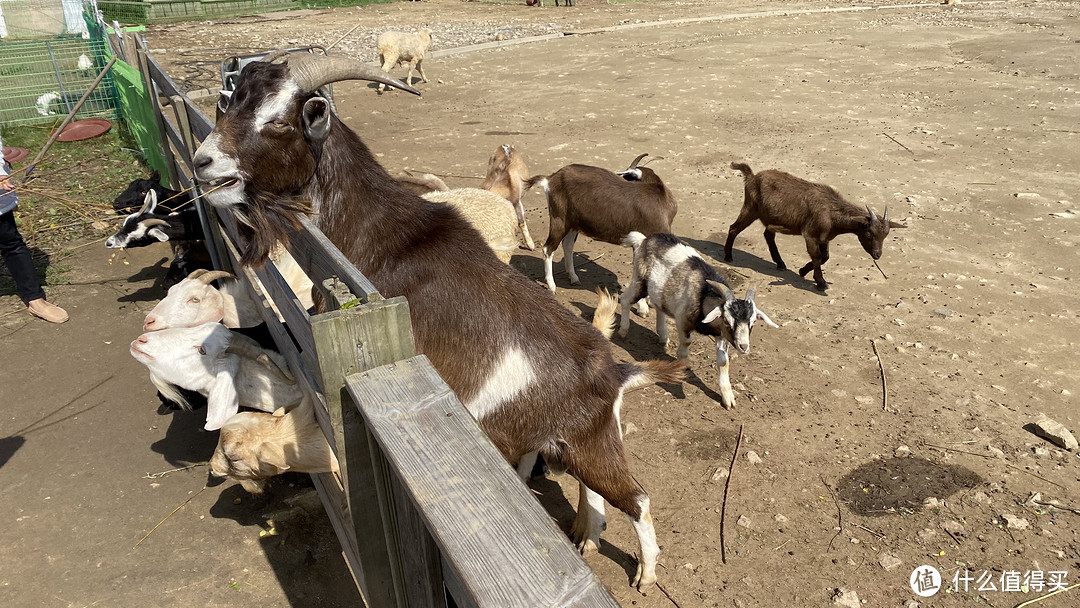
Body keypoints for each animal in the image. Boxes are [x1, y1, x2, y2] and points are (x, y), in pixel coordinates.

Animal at [192, 51, 682, 591]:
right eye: (232, 102)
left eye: (279, 120)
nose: (202, 162)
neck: (375, 233)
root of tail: (617, 373)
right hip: (568, 446)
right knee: (596, 492)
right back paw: (588, 536)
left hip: (592, 447)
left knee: (637, 499)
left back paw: (645, 573)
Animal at [721, 163, 907, 291]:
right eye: (869, 234)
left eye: (885, 235)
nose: (877, 255)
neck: (832, 213)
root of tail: (751, 177)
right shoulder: (810, 235)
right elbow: (817, 257)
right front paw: (821, 282)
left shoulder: (824, 238)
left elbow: (825, 257)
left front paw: (803, 270)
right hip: (750, 209)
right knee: (733, 228)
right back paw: (728, 256)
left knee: (768, 235)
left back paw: (780, 263)